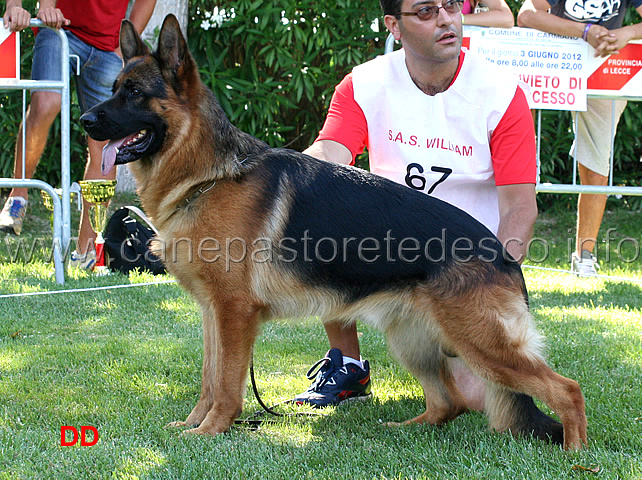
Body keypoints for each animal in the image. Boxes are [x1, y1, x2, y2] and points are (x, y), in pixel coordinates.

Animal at [80, 15, 584, 450]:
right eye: (114, 90)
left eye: (134, 93)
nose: (85, 121)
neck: (212, 175)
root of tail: (505, 258)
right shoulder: (212, 314)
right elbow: (208, 378)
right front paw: (193, 424)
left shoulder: (234, 314)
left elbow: (225, 383)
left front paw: (211, 431)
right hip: (414, 339)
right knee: (449, 402)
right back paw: (406, 428)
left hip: (481, 345)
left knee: (567, 390)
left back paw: (576, 454)